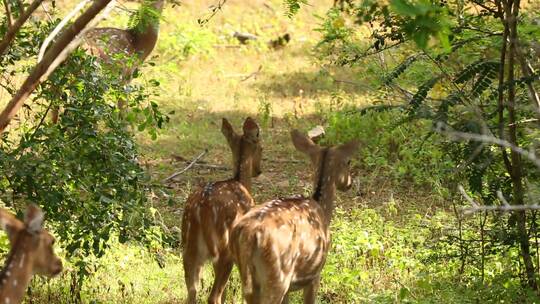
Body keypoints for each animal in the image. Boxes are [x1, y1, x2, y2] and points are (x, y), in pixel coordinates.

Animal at [181, 117, 264, 304]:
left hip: (189, 250)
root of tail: (202, 208)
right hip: (224, 249)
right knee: (213, 296)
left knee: (192, 291)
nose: (258, 170)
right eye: (262, 147)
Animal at [229, 129, 358, 304]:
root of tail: (248, 236)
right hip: (277, 275)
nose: (349, 183)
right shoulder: (316, 273)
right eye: (348, 162)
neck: (323, 210)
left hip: (246, 273)